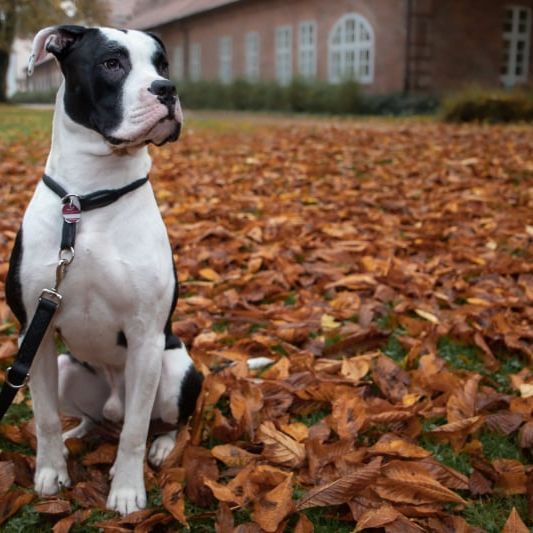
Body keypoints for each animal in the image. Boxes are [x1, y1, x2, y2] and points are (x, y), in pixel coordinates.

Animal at [4, 26, 203, 516]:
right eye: (112, 64)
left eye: (162, 64)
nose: (167, 90)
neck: (88, 199)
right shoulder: (35, 334)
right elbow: (45, 416)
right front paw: (50, 471)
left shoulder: (146, 337)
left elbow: (134, 432)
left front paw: (128, 490)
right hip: (67, 366)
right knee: (94, 418)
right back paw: (79, 433)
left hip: (176, 370)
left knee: (161, 421)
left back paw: (162, 446)